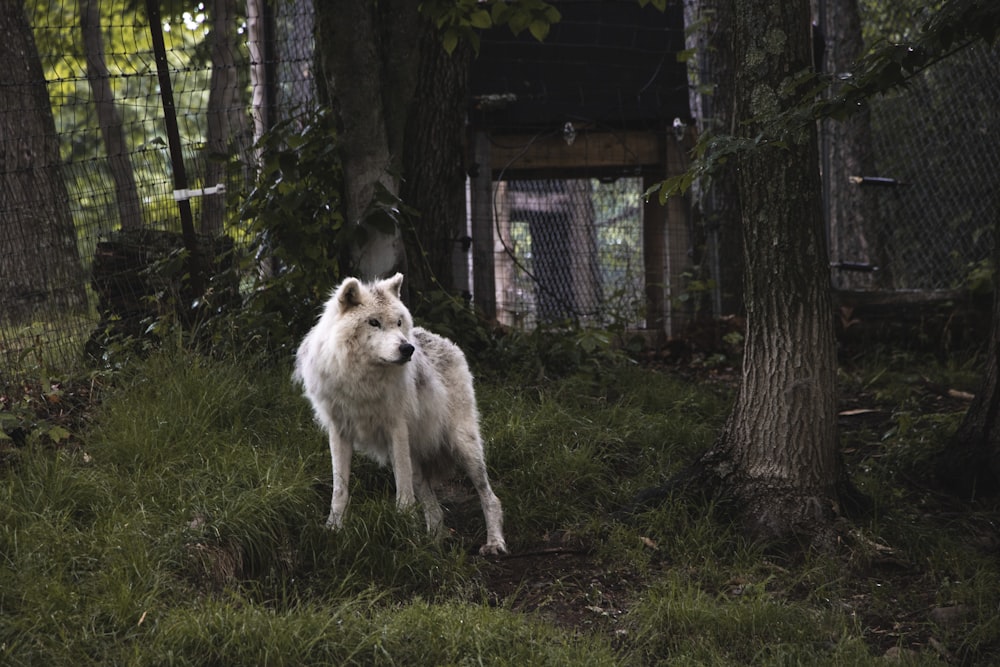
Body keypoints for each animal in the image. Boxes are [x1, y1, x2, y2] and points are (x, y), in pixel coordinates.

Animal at [292, 274, 504, 556]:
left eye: (399, 322)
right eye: (373, 322)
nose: (407, 348)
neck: (363, 380)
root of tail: (442, 339)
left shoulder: (397, 430)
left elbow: (403, 495)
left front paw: (406, 535)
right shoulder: (338, 433)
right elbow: (339, 490)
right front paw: (333, 530)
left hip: (463, 446)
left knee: (489, 497)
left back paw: (494, 543)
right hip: (418, 460)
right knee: (433, 506)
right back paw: (434, 541)